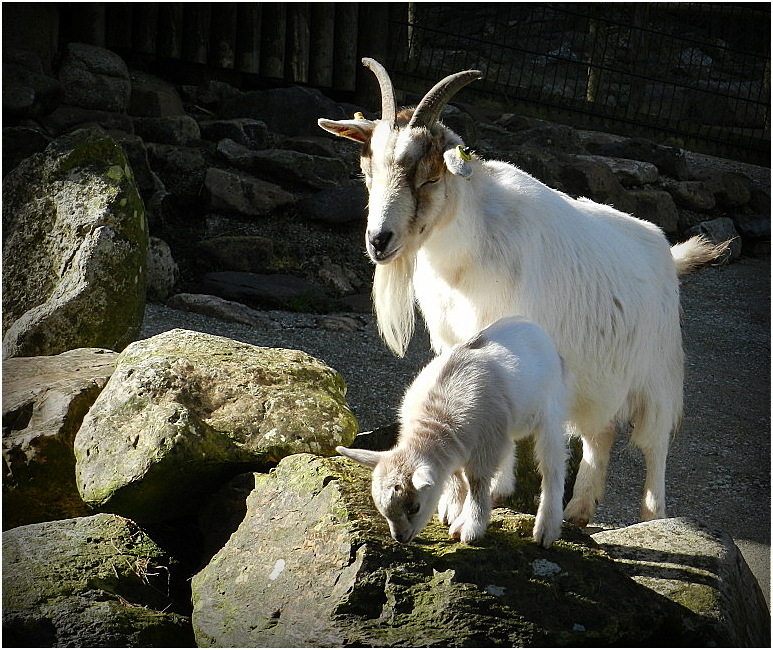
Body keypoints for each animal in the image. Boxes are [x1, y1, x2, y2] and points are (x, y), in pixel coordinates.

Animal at [318, 58, 724, 528]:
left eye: (431, 176)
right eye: (368, 171)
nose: (379, 241)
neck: (468, 251)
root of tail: (666, 250)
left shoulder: (514, 340)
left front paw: (492, 490)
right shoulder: (452, 341)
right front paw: (452, 501)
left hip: (657, 375)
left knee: (654, 443)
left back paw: (652, 516)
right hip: (599, 381)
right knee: (600, 432)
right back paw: (578, 510)